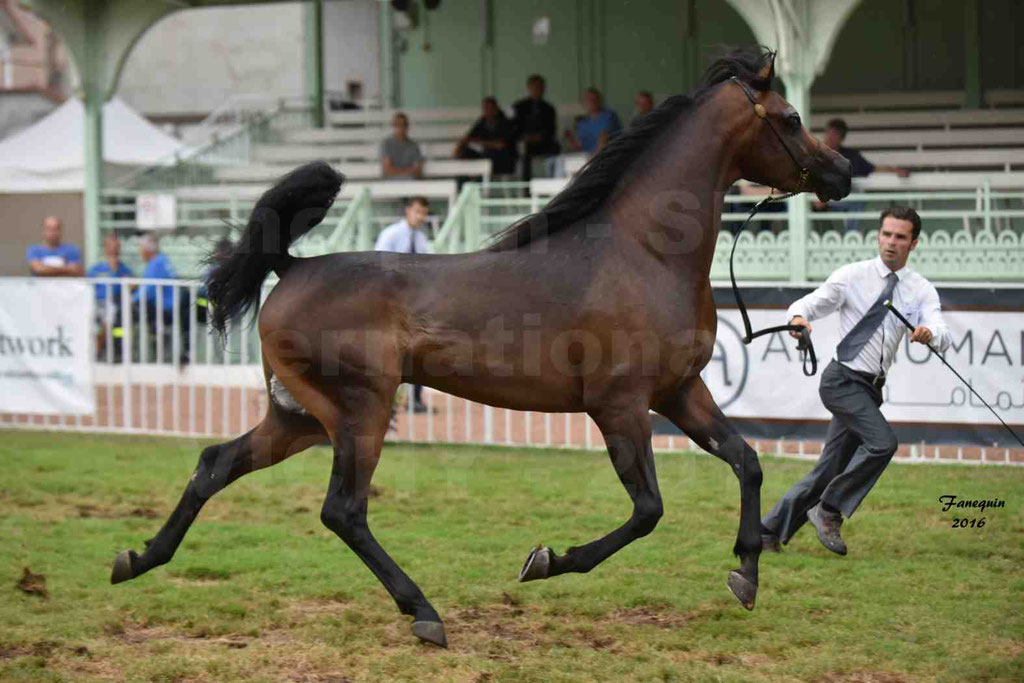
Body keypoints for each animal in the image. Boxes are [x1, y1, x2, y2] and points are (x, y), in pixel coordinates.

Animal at [110, 49, 847, 647]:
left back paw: (137, 559)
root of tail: (290, 266)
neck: (643, 252)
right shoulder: (619, 406)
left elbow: (746, 460)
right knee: (343, 510)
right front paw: (545, 561)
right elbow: (647, 510)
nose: (839, 173)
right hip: (360, 411)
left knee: (215, 463)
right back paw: (424, 613)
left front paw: (746, 571)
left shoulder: (680, 392)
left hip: (299, 416)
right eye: (789, 117)